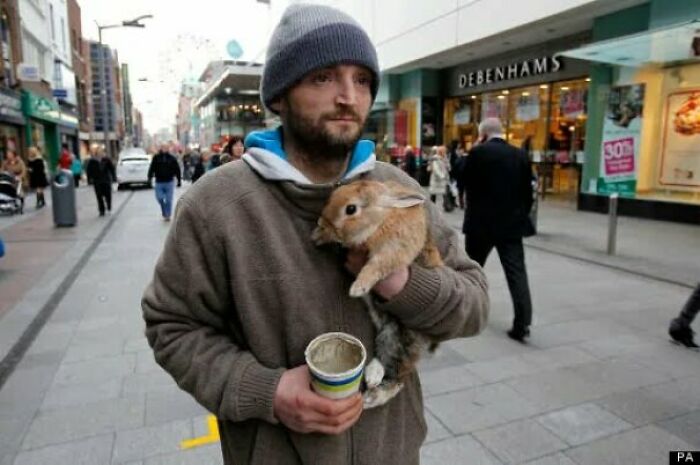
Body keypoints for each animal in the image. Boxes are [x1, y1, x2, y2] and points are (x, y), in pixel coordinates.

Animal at [311, 179, 443, 409]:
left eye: (351, 209)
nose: (322, 221)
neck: (382, 218)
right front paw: (318, 235)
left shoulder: (392, 251)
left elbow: (375, 267)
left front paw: (357, 288)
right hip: (386, 327)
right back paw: (372, 376)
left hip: (404, 335)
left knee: (397, 374)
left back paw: (370, 397)